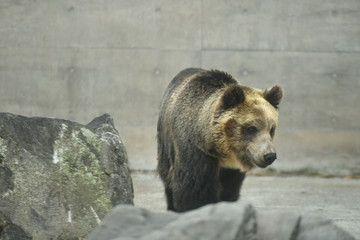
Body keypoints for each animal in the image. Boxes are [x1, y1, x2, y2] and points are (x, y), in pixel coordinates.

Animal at [158, 67, 284, 212]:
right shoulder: (195, 150)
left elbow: (229, 189)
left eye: (271, 128)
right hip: (166, 139)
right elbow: (194, 187)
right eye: (251, 128)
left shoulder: (231, 170)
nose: (269, 155)